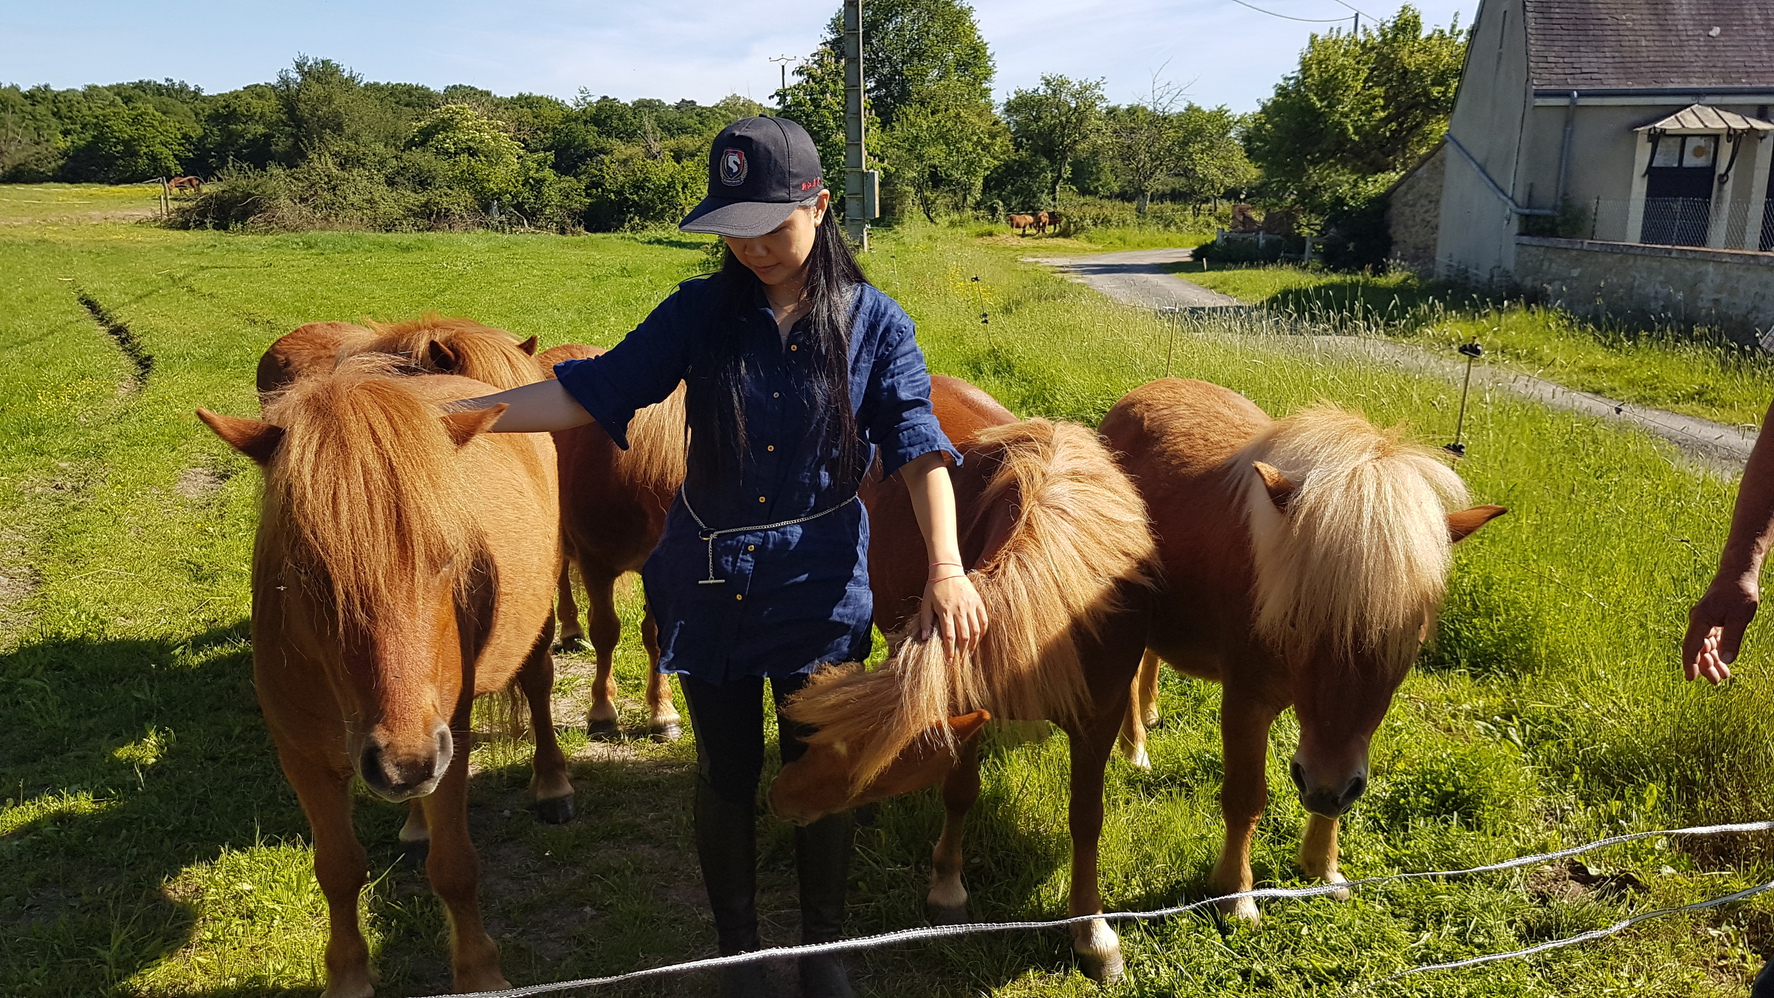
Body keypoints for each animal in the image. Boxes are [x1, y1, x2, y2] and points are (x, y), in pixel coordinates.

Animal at [197, 354, 567, 992]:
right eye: (307, 570)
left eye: (447, 556)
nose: (405, 759)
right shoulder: (303, 761)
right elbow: (338, 870)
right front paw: (347, 976)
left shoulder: (451, 742)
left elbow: (455, 868)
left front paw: (479, 972)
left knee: (539, 686)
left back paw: (551, 783)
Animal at [1099, 379, 1504, 928]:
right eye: (1297, 619)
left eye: (1410, 636)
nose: (1326, 785)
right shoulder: (1246, 701)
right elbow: (1245, 797)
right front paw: (1236, 893)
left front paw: (1322, 867)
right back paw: (1134, 747)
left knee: (1148, 661)